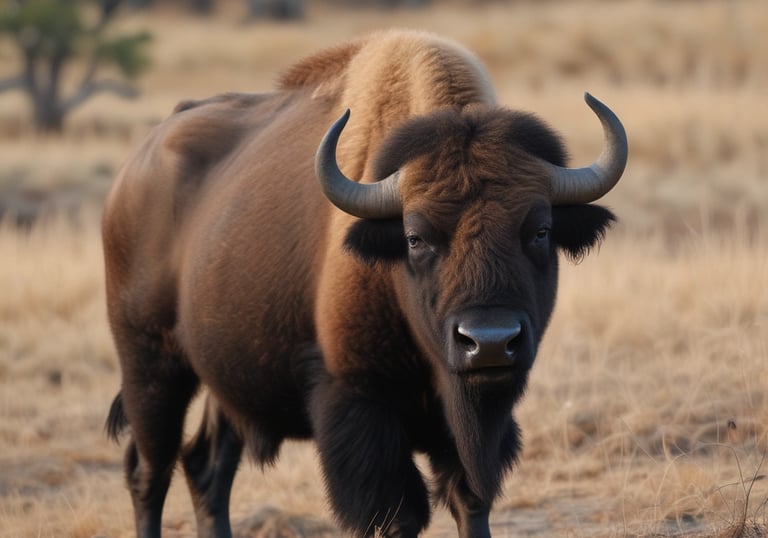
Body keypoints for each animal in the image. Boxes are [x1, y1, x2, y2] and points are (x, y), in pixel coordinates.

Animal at [103, 30, 627, 538]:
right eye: (415, 237)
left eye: (540, 230)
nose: (490, 342)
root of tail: (131, 174)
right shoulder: (361, 407)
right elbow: (397, 514)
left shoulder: (467, 432)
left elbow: (470, 500)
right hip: (150, 366)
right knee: (149, 471)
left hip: (225, 380)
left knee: (206, 467)